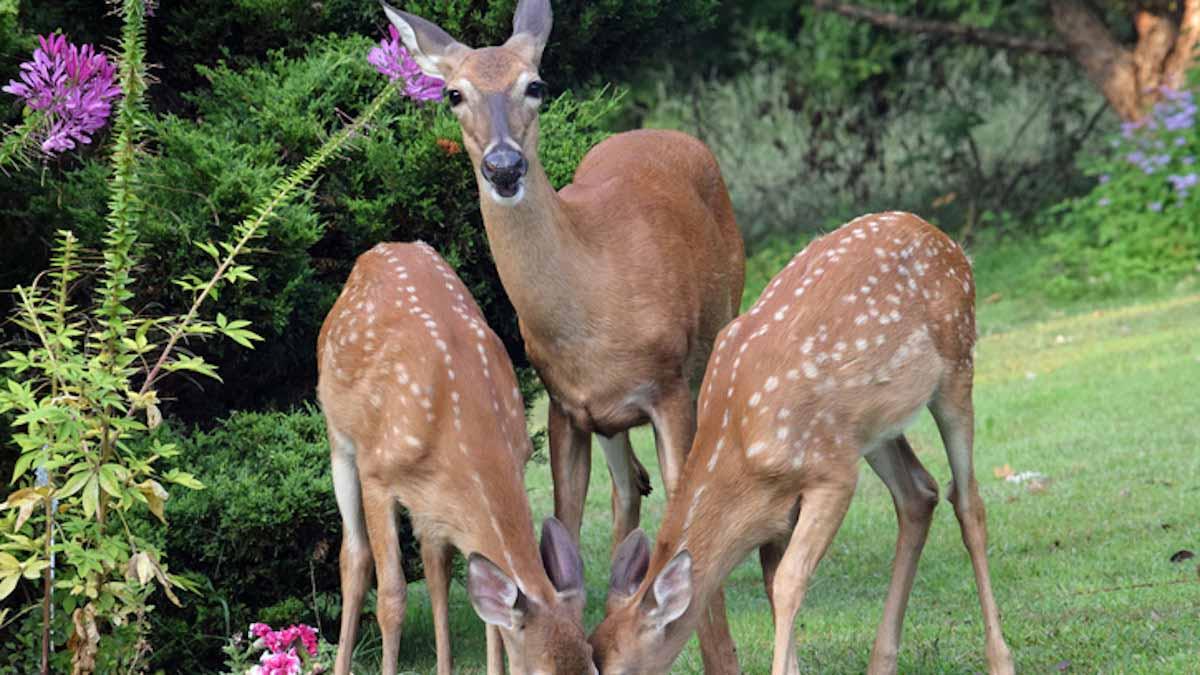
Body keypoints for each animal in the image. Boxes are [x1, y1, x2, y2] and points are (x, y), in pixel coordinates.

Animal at [319, 241, 595, 672]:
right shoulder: (377, 473)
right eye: (540, 670)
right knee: (355, 558)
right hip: (339, 440)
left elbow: (484, 611)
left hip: (429, 504)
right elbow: (392, 597)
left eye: (593, 661)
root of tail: (380, 249)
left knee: (436, 570)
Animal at [379, 1, 744, 667]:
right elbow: (565, 525)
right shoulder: (565, 406)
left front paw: (715, 655)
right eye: (453, 94)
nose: (503, 166)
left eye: (536, 85)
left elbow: (686, 522)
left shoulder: (669, 390)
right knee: (628, 489)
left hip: (716, 334)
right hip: (608, 418)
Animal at [588, 211, 1012, 672]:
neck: (740, 448)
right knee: (919, 493)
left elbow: (790, 580)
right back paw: (881, 661)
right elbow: (775, 582)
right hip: (870, 428)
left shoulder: (833, 476)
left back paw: (999, 659)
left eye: (616, 669)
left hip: (957, 365)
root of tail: (943, 238)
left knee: (968, 503)